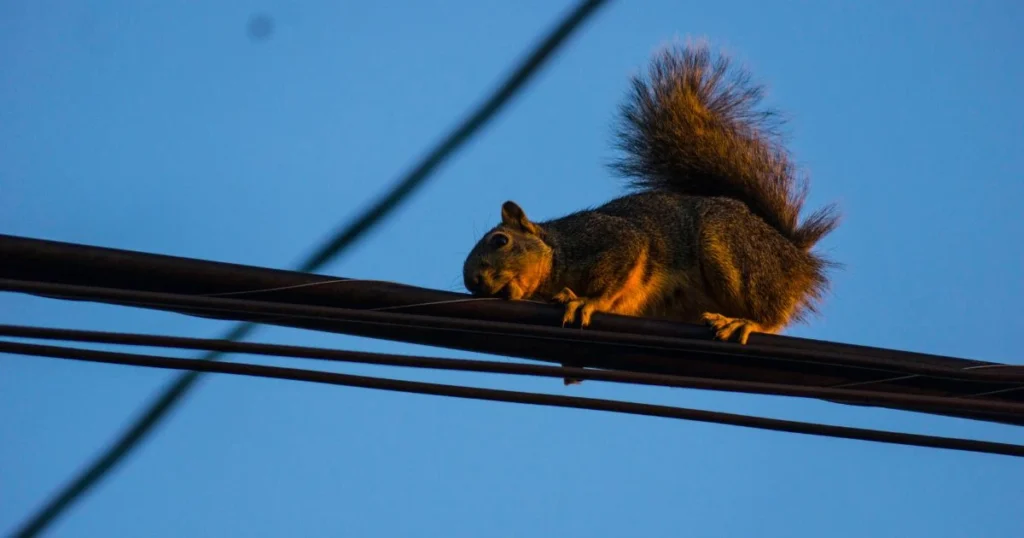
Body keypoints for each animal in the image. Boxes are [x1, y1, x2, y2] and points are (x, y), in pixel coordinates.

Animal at [464, 42, 839, 381]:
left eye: (500, 241)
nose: (473, 282)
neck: (557, 253)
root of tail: (796, 258)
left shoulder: (607, 238)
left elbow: (620, 263)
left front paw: (586, 301)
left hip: (733, 252)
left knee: (771, 314)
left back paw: (744, 322)